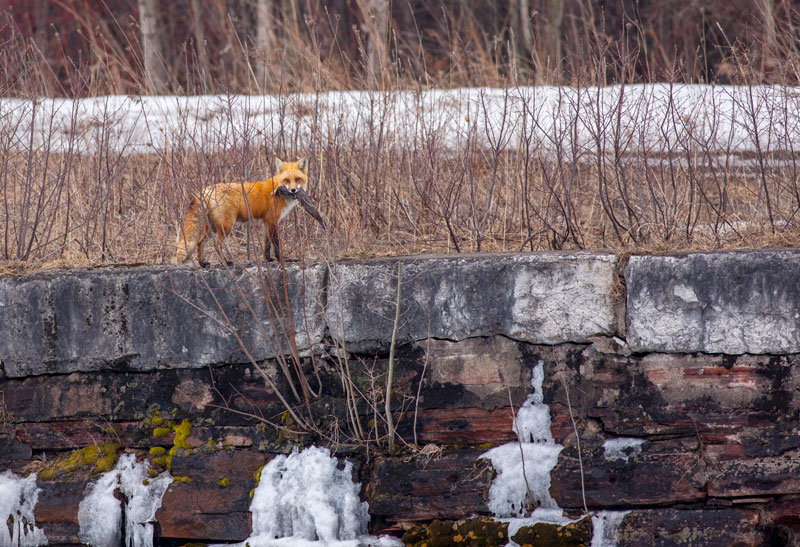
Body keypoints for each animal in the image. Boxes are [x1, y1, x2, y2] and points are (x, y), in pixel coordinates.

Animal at [175, 157, 324, 264]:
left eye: (297, 179)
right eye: (286, 180)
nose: (293, 190)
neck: (277, 189)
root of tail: (206, 189)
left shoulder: (266, 222)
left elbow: (267, 244)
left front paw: (268, 259)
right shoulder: (273, 221)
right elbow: (276, 244)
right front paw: (281, 259)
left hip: (211, 228)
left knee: (200, 242)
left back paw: (203, 263)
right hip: (225, 227)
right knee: (217, 245)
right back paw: (225, 262)